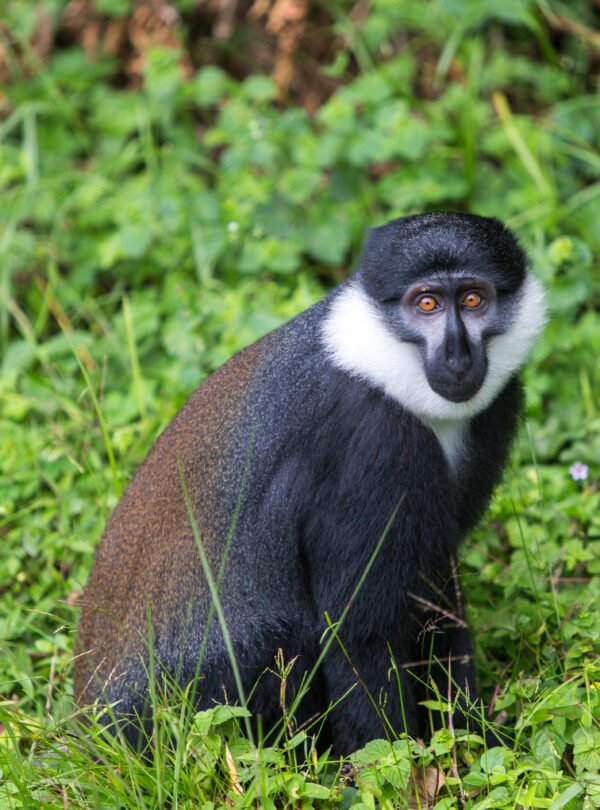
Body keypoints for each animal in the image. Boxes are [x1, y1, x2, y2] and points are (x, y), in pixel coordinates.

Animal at [74, 212, 546, 756]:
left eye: (473, 299)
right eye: (426, 303)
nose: (457, 355)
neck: (379, 365)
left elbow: (434, 588)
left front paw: (472, 739)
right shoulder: (373, 445)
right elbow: (359, 632)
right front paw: (402, 766)